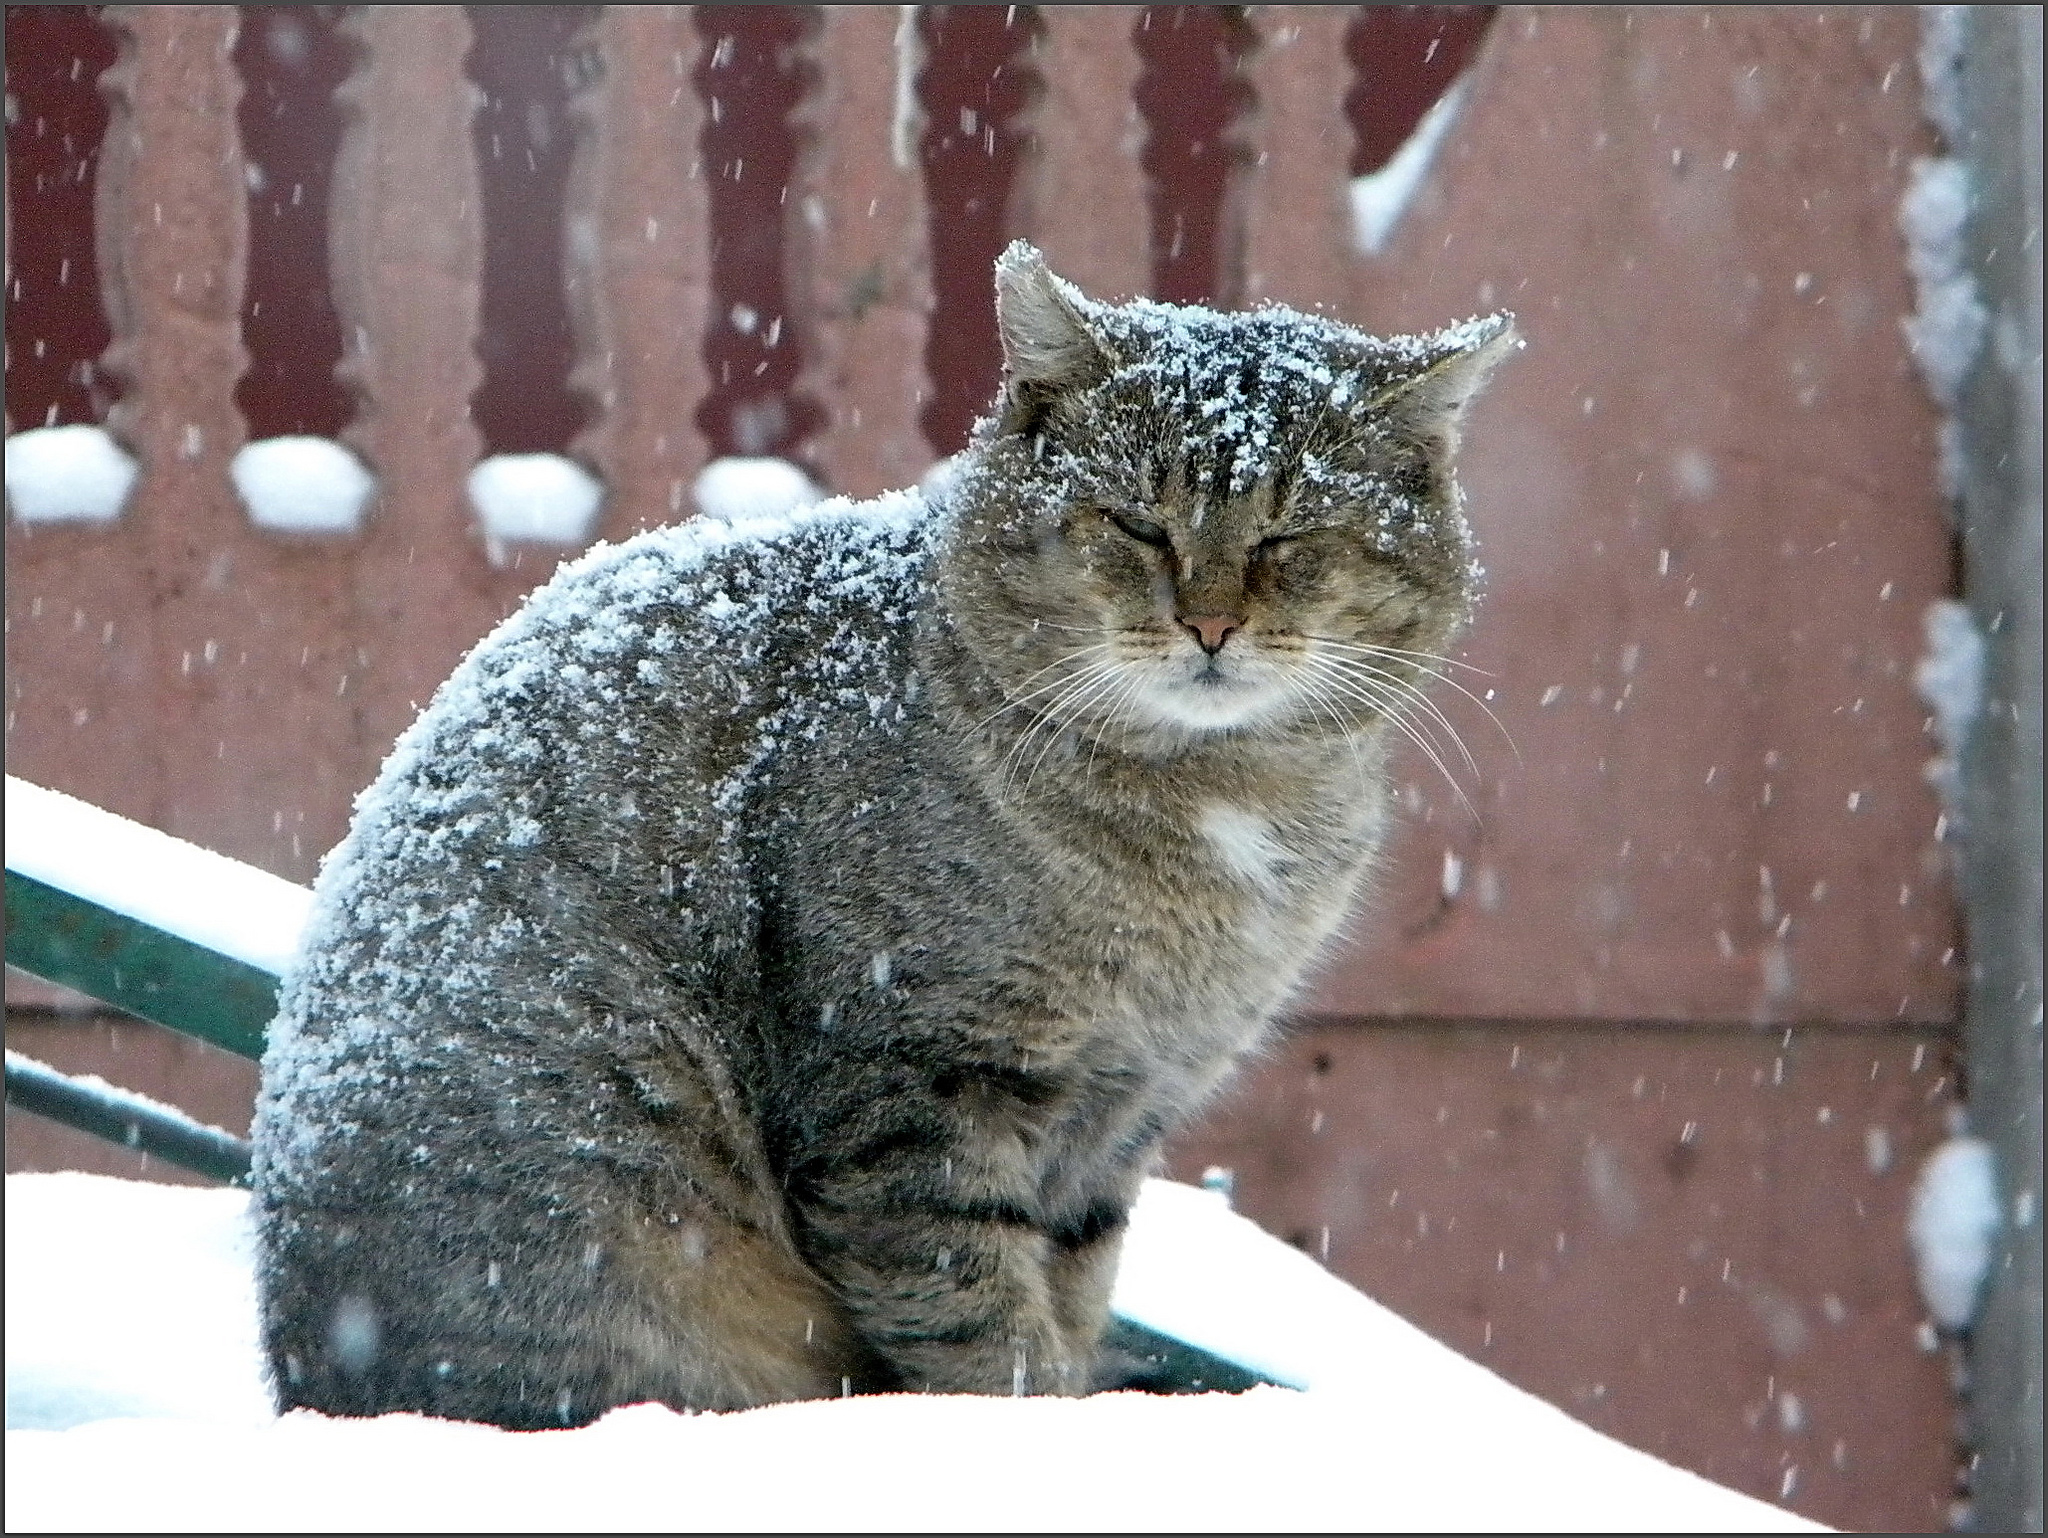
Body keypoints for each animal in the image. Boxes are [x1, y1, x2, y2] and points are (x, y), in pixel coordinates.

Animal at [247, 243, 1515, 1433]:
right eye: (1135, 524)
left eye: (1293, 535)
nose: (1208, 623)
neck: (1209, 816)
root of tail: (310, 1383)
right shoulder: (913, 1086)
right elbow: (978, 1320)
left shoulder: (1122, 1115)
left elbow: (1069, 1291)